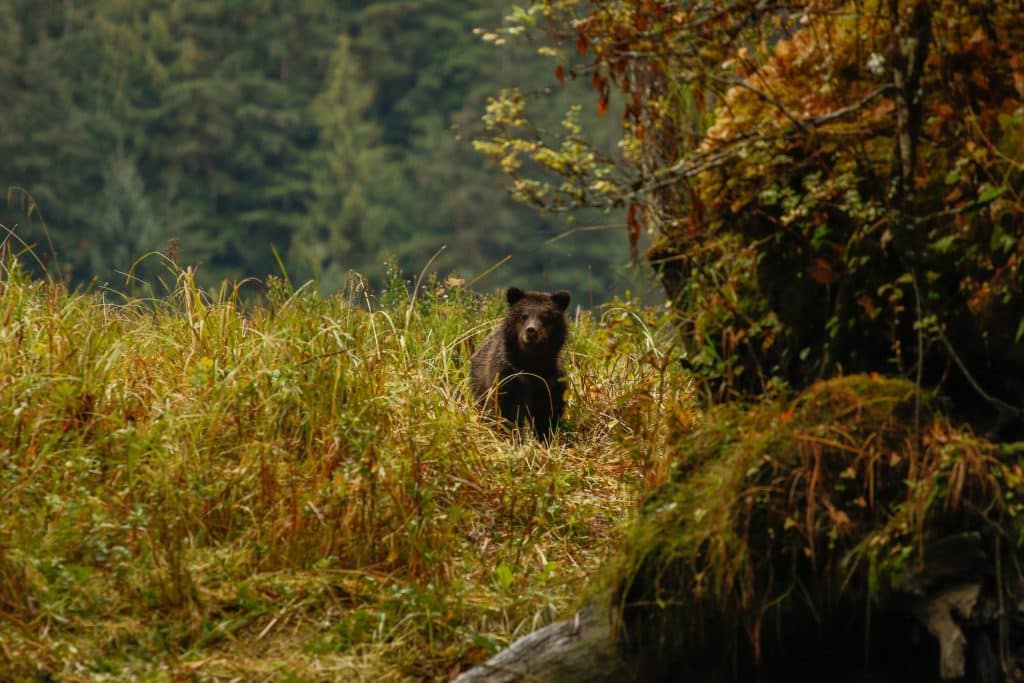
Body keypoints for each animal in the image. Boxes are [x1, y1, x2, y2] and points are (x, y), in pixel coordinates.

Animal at [470, 286, 571, 441]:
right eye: (524, 315)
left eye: (545, 316)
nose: (531, 330)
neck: (531, 361)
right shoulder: (510, 376)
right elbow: (508, 410)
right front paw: (513, 436)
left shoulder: (549, 380)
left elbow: (547, 412)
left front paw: (544, 437)